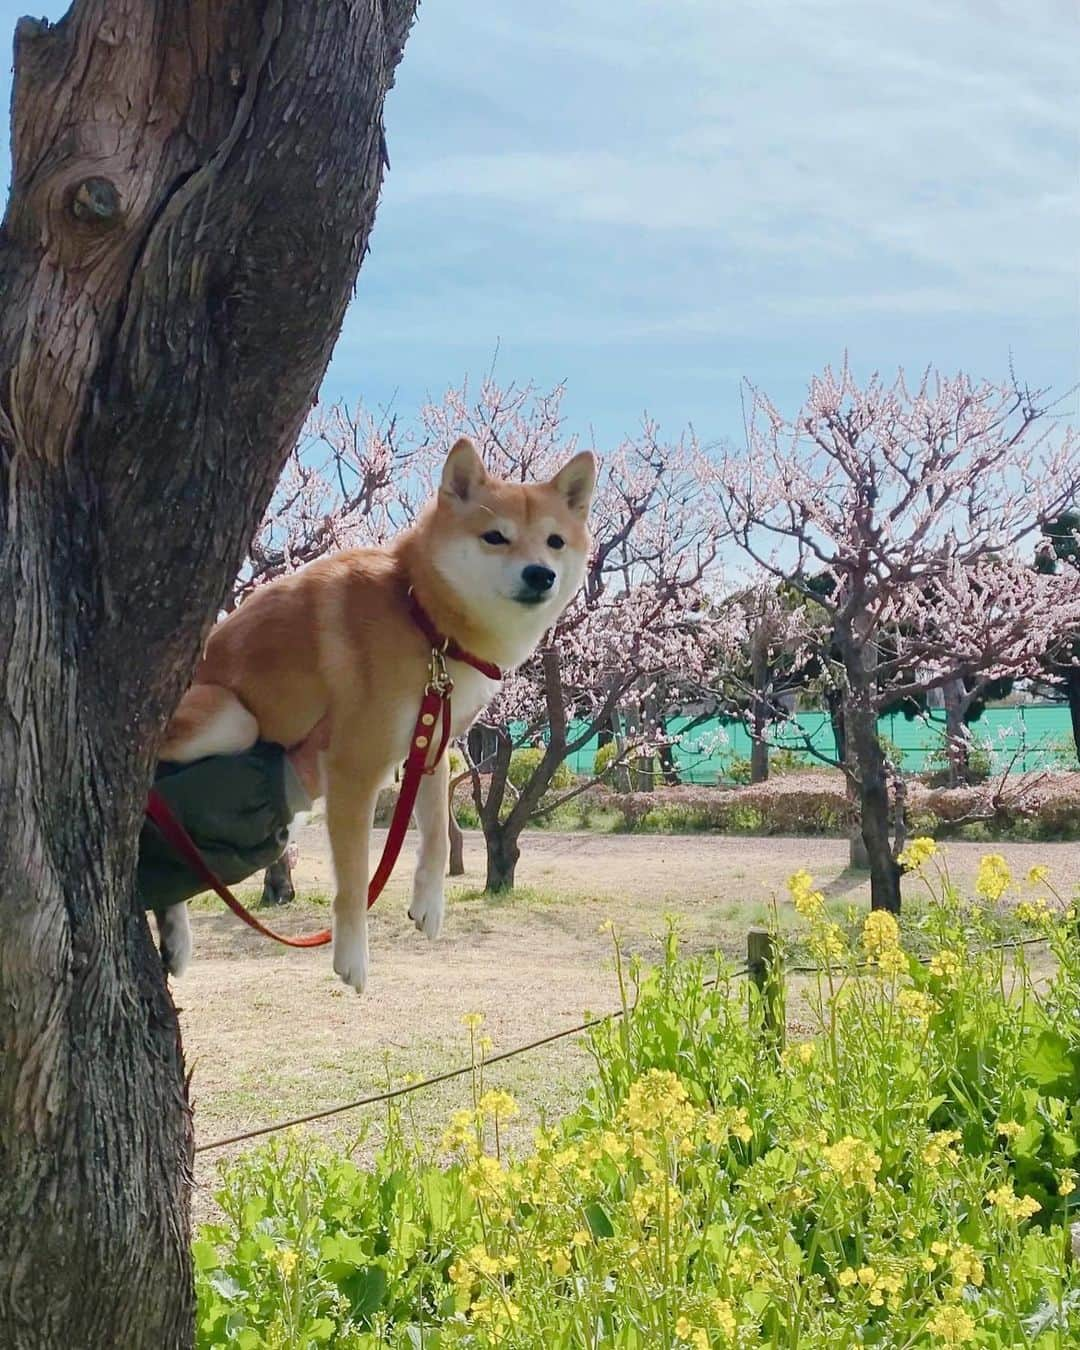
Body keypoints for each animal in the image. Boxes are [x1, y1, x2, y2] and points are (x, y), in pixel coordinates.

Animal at [157, 437, 599, 988]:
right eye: (495, 537)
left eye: (555, 542)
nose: (541, 573)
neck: (423, 619)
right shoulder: (355, 767)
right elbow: (354, 880)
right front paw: (351, 955)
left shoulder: (432, 742)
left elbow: (436, 835)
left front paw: (429, 906)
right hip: (230, 717)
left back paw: (175, 937)